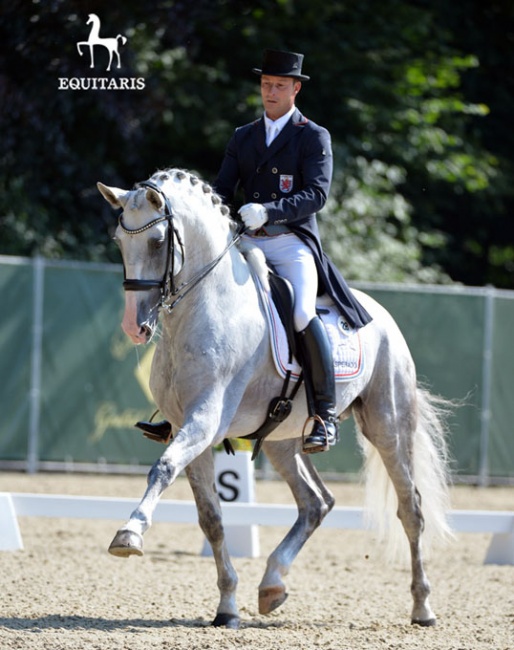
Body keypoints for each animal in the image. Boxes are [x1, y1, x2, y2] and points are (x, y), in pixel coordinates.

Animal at [95, 167, 448, 628]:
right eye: (119, 241)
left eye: (156, 242)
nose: (134, 328)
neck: (204, 310)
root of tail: (381, 316)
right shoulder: (189, 428)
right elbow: (211, 519)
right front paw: (227, 607)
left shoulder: (205, 419)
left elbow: (163, 468)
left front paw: (129, 534)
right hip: (285, 440)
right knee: (316, 503)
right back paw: (272, 585)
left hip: (388, 427)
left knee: (411, 509)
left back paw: (423, 607)